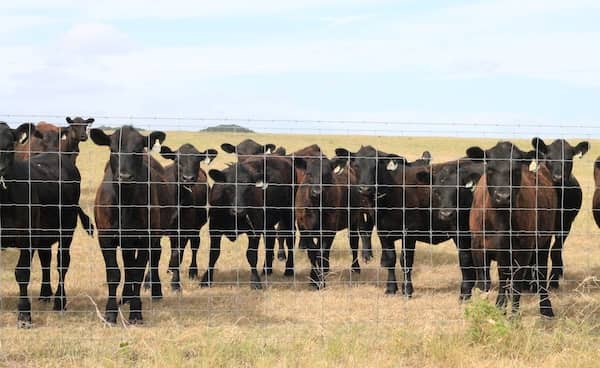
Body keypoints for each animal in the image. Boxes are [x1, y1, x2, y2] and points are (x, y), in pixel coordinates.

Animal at [466, 142, 556, 318]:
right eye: (490, 169)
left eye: (516, 170)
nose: (503, 196)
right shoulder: (478, 247)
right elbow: (483, 283)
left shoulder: (523, 250)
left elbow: (516, 286)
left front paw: (514, 317)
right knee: (503, 277)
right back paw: (500, 306)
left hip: (544, 242)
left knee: (541, 273)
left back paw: (546, 308)